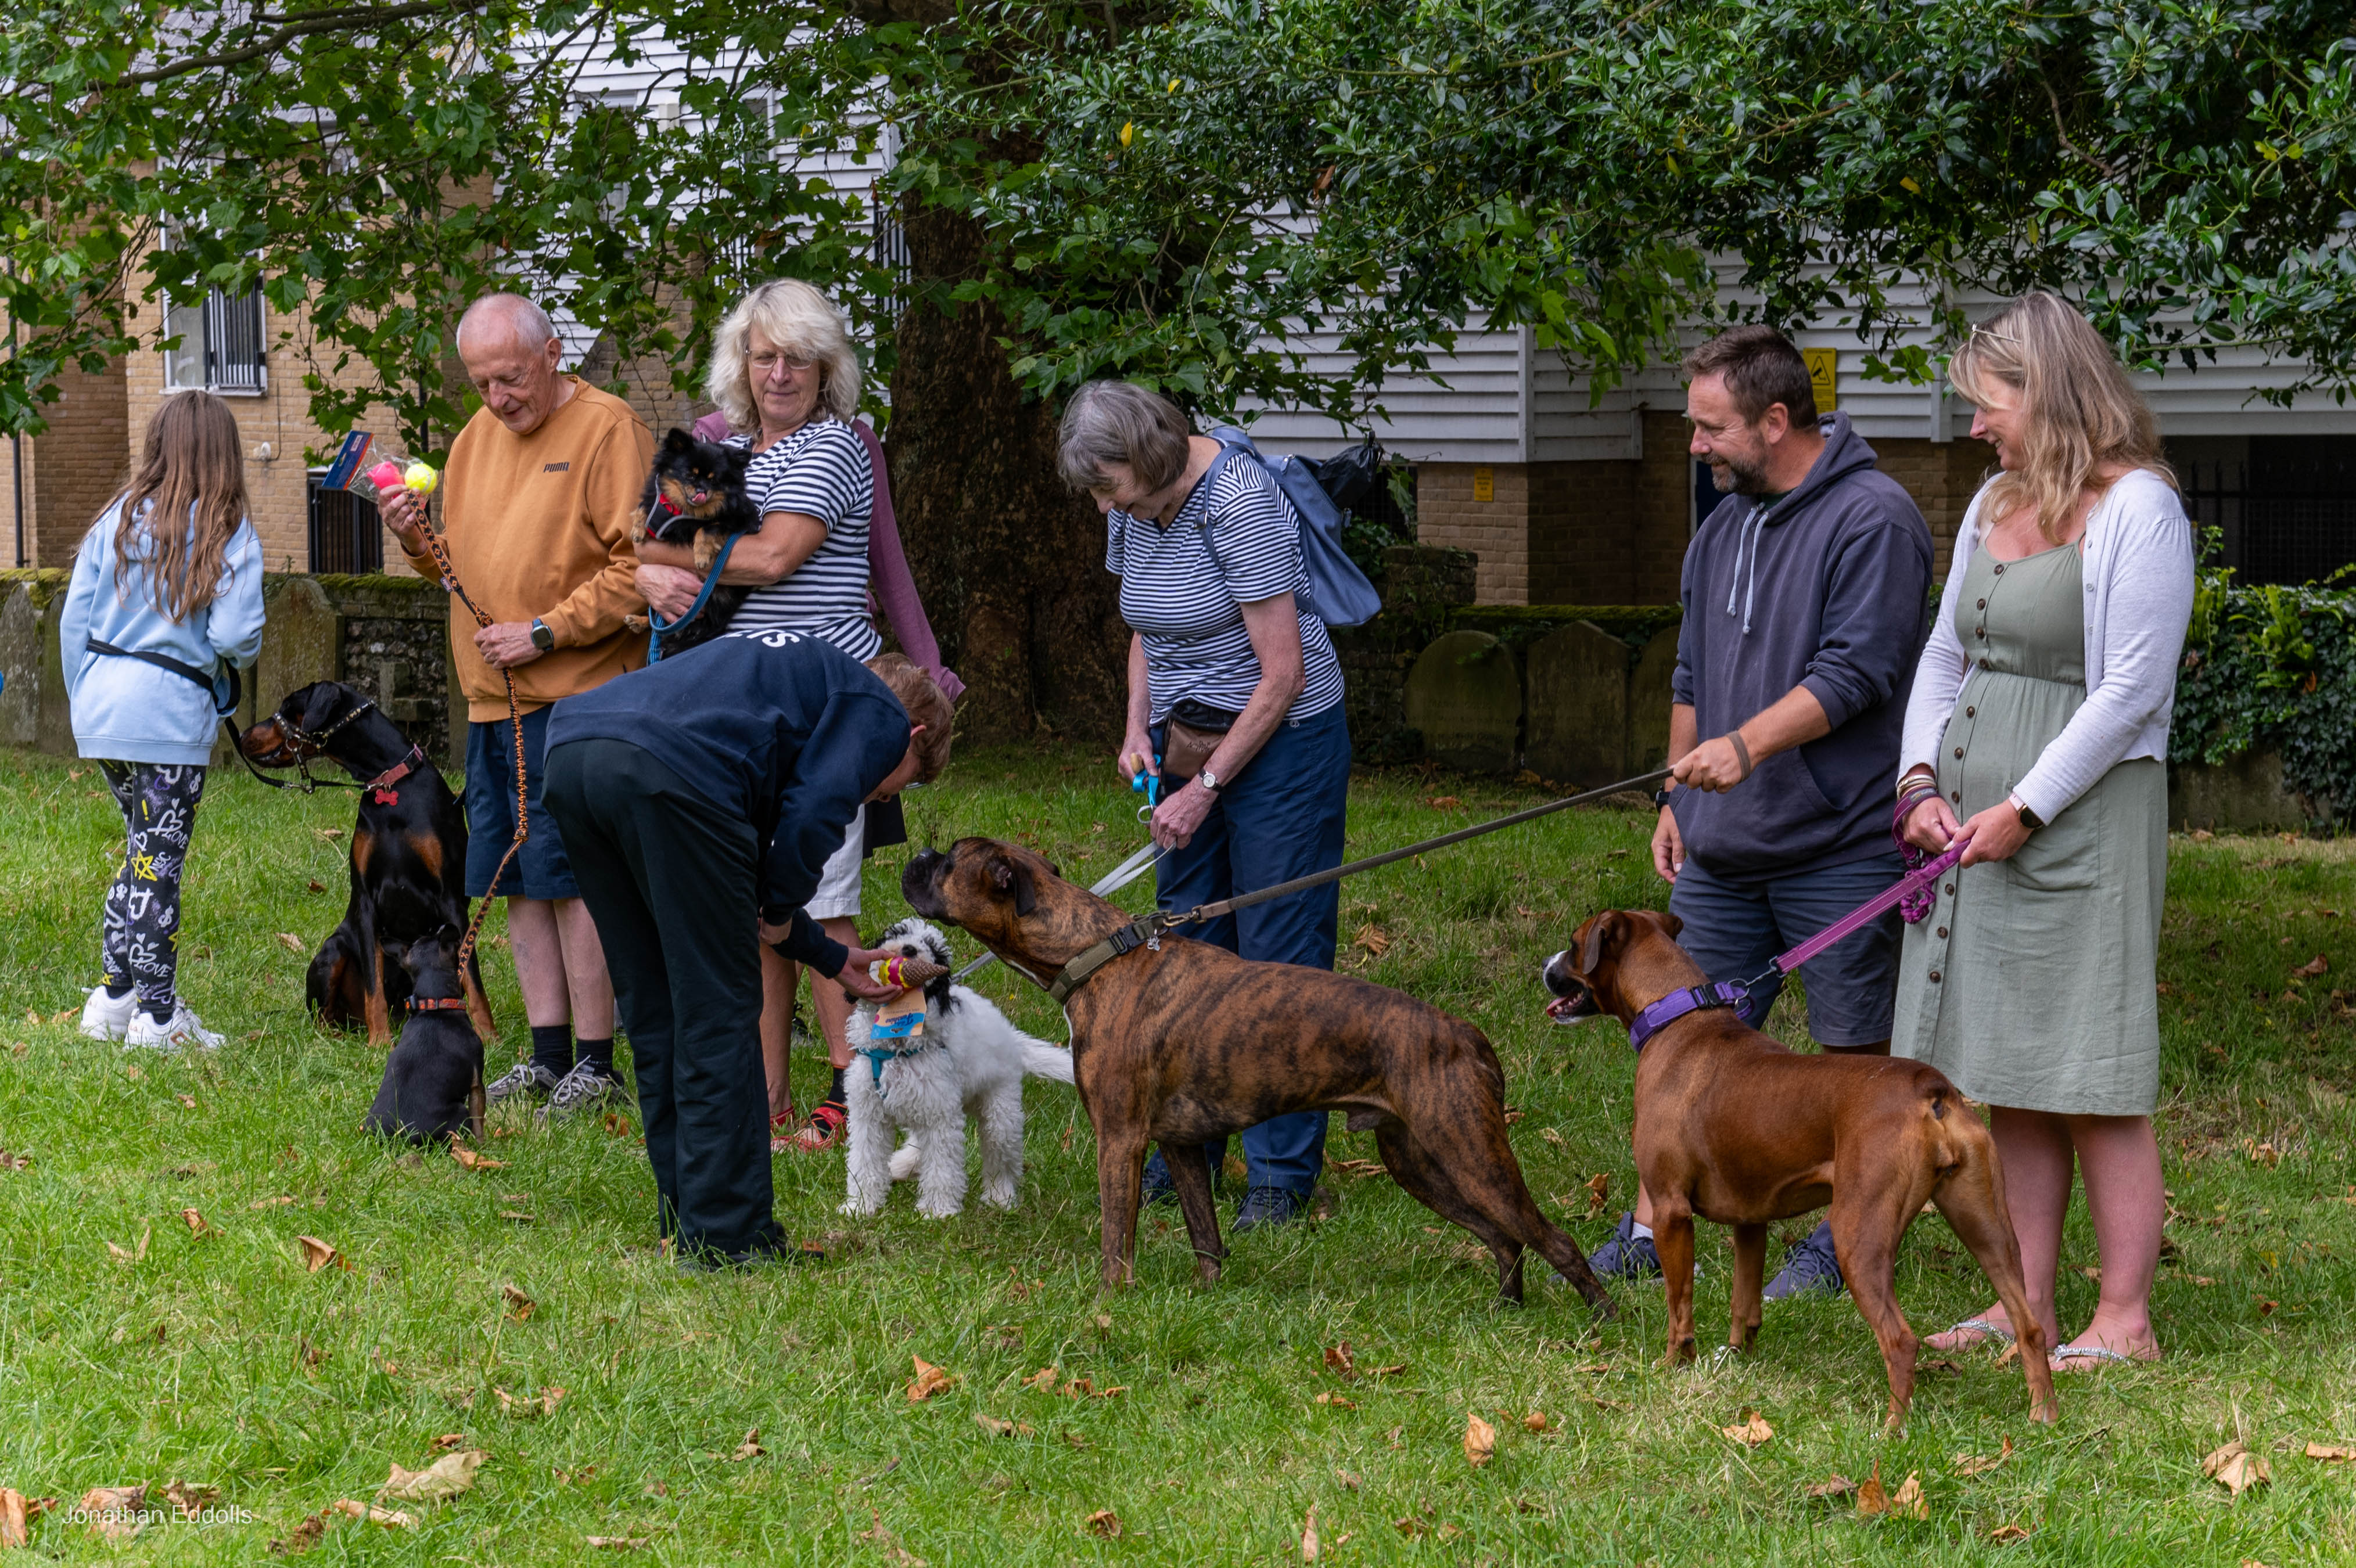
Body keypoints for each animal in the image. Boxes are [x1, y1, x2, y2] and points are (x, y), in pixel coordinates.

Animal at [239, 678, 492, 1045]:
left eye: (288, 707)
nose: (243, 735)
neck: (389, 784)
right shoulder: (366, 899)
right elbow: (374, 985)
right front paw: (380, 1043)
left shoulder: (451, 897)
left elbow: (472, 976)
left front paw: (489, 1034)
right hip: (332, 951)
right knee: (324, 1016)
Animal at [838, 918, 1079, 1224]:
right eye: (898, 934)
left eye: (932, 949)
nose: (909, 949)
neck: (898, 1045)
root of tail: (1012, 1039)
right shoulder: (869, 1114)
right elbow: (864, 1160)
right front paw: (860, 1205)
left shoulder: (940, 1116)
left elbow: (942, 1165)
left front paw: (937, 1209)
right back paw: (901, 1166)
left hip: (1001, 1113)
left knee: (1002, 1160)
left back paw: (1001, 1197)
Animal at [900, 829, 1621, 1309]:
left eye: (949, 861)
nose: (915, 857)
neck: (1095, 953)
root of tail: (1465, 1033)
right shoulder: (1179, 1145)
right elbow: (1205, 1234)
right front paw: (1209, 1301)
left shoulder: (1120, 1141)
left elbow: (1115, 1238)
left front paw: (1111, 1307)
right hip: (1421, 1163)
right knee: (1504, 1239)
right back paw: (1507, 1308)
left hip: (1469, 1154)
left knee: (1553, 1238)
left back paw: (1602, 1321)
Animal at [1536, 904, 2054, 1431]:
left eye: (1574, 945)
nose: (1545, 966)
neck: (1677, 1014)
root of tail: (1930, 1088)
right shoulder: (1750, 1222)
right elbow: (1744, 1303)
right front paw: (1736, 1360)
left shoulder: (1669, 1212)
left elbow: (1679, 1307)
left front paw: (1673, 1365)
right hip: (1987, 1229)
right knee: (2029, 1328)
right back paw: (2042, 1417)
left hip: (1858, 1236)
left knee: (1901, 1340)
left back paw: (1892, 1429)